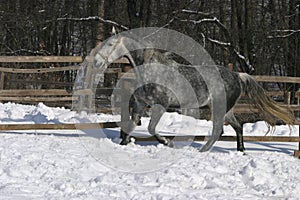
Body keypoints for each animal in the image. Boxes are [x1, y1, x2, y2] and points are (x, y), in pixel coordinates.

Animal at [88, 29, 294, 152]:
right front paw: (123, 144)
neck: (150, 69)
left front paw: (167, 142)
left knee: (219, 130)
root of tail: (237, 75)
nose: (96, 62)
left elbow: (151, 128)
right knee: (237, 127)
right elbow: (131, 127)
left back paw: (203, 151)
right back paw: (240, 151)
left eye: (110, 44)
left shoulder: (161, 105)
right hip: (226, 110)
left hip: (219, 108)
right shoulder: (140, 104)